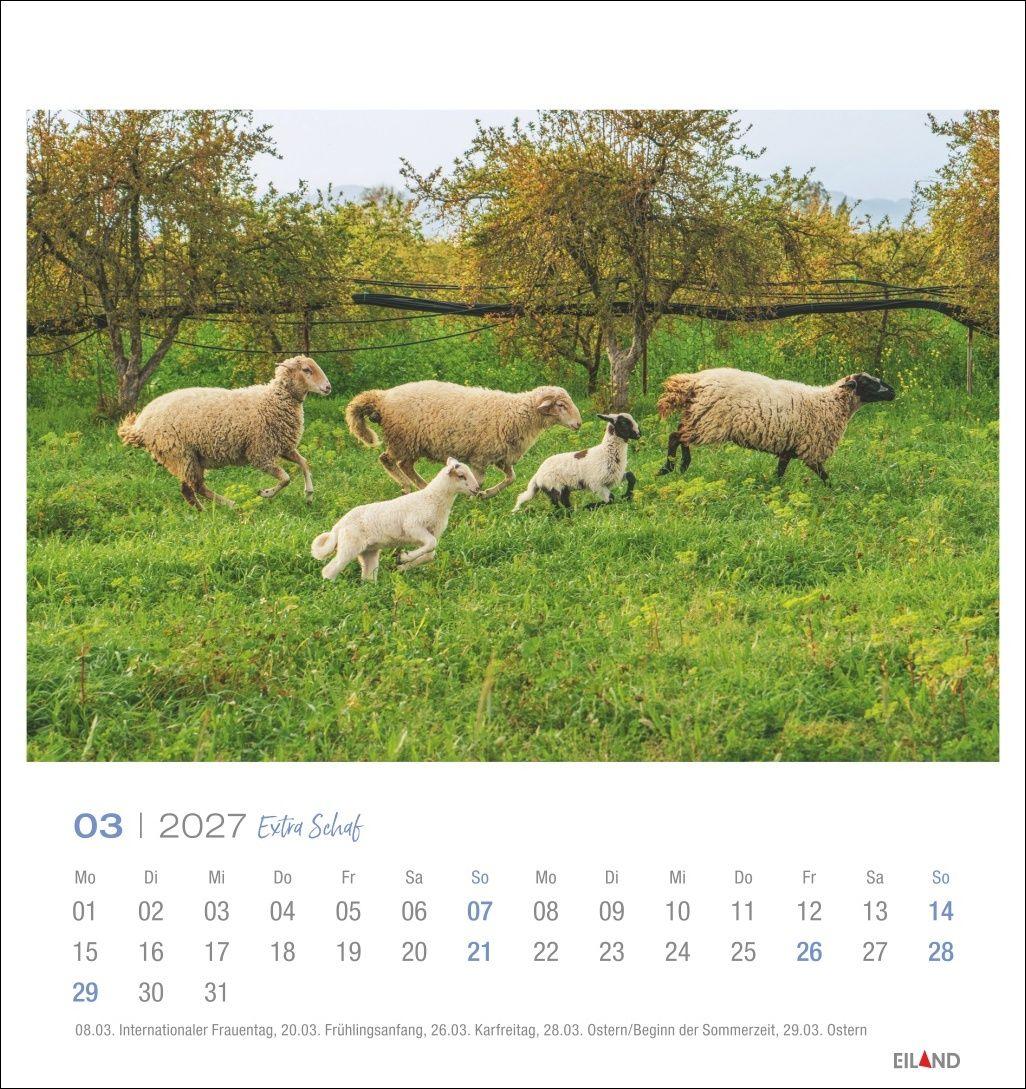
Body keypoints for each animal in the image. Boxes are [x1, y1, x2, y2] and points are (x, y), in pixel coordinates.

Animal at [118, 356, 332, 508]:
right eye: (306, 370)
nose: (328, 387)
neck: (273, 400)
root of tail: (139, 425)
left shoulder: (283, 447)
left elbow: (304, 464)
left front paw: (309, 495)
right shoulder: (259, 453)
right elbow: (286, 478)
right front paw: (266, 493)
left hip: (188, 458)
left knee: (191, 489)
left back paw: (209, 510)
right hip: (181, 454)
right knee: (194, 488)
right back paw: (227, 506)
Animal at [312, 457, 479, 581]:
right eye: (461, 475)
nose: (477, 489)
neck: (433, 499)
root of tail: (338, 526)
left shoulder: (431, 533)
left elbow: (430, 554)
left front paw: (401, 564)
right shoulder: (413, 526)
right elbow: (431, 544)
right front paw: (403, 558)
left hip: (368, 551)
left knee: (367, 576)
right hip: (349, 546)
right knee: (330, 569)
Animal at [345, 380, 582, 499]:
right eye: (561, 405)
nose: (579, 424)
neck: (516, 414)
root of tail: (382, 398)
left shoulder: (500, 457)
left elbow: (510, 479)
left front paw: (487, 495)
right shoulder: (480, 457)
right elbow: (479, 481)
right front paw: (474, 497)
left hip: (414, 443)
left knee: (406, 465)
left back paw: (424, 487)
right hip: (401, 438)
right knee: (387, 460)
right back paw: (407, 487)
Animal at [513, 413, 642, 512]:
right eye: (624, 423)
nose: (639, 434)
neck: (605, 452)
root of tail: (537, 475)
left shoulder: (615, 477)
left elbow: (631, 477)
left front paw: (627, 496)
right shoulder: (596, 483)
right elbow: (611, 498)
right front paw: (589, 506)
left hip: (563, 487)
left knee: (564, 501)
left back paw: (572, 512)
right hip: (553, 486)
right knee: (556, 503)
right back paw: (563, 515)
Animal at [656, 368, 895, 483]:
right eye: (868, 383)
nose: (892, 392)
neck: (829, 404)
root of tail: (695, 381)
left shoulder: (789, 446)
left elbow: (780, 470)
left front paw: (774, 489)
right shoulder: (811, 447)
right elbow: (823, 475)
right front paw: (833, 492)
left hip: (698, 415)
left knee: (680, 434)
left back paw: (682, 465)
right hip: (709, 421)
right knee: (676, 436)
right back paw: (668, 468)